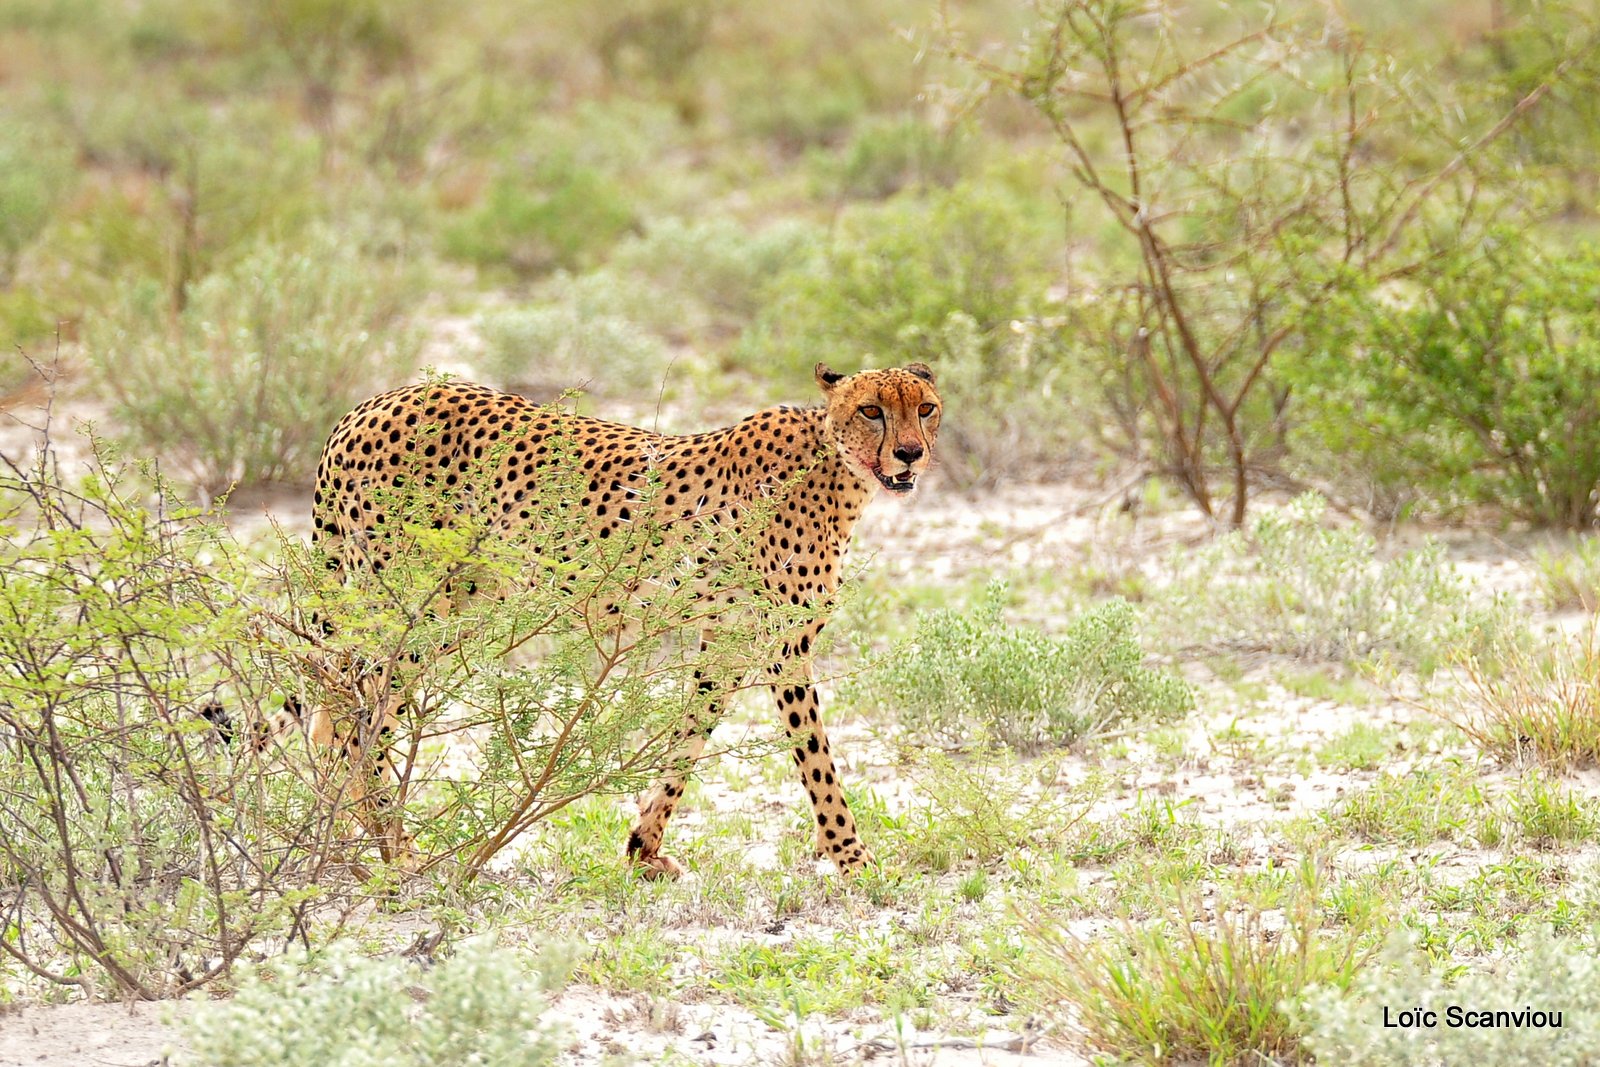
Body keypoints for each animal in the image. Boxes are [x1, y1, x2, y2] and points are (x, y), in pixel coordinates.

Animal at [300, 363, 934, 883]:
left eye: (925, 408)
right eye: (871, 410)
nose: (910, 453)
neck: (839, 469)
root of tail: (373, 403)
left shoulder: (727, 639)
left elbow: (690, 734)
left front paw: (644, 847)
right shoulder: (784, 644)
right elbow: (817, 758)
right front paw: (855, 861)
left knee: (332, 713)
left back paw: (340, 839)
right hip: (416, 604)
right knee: (362, 720)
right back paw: (393, 850)